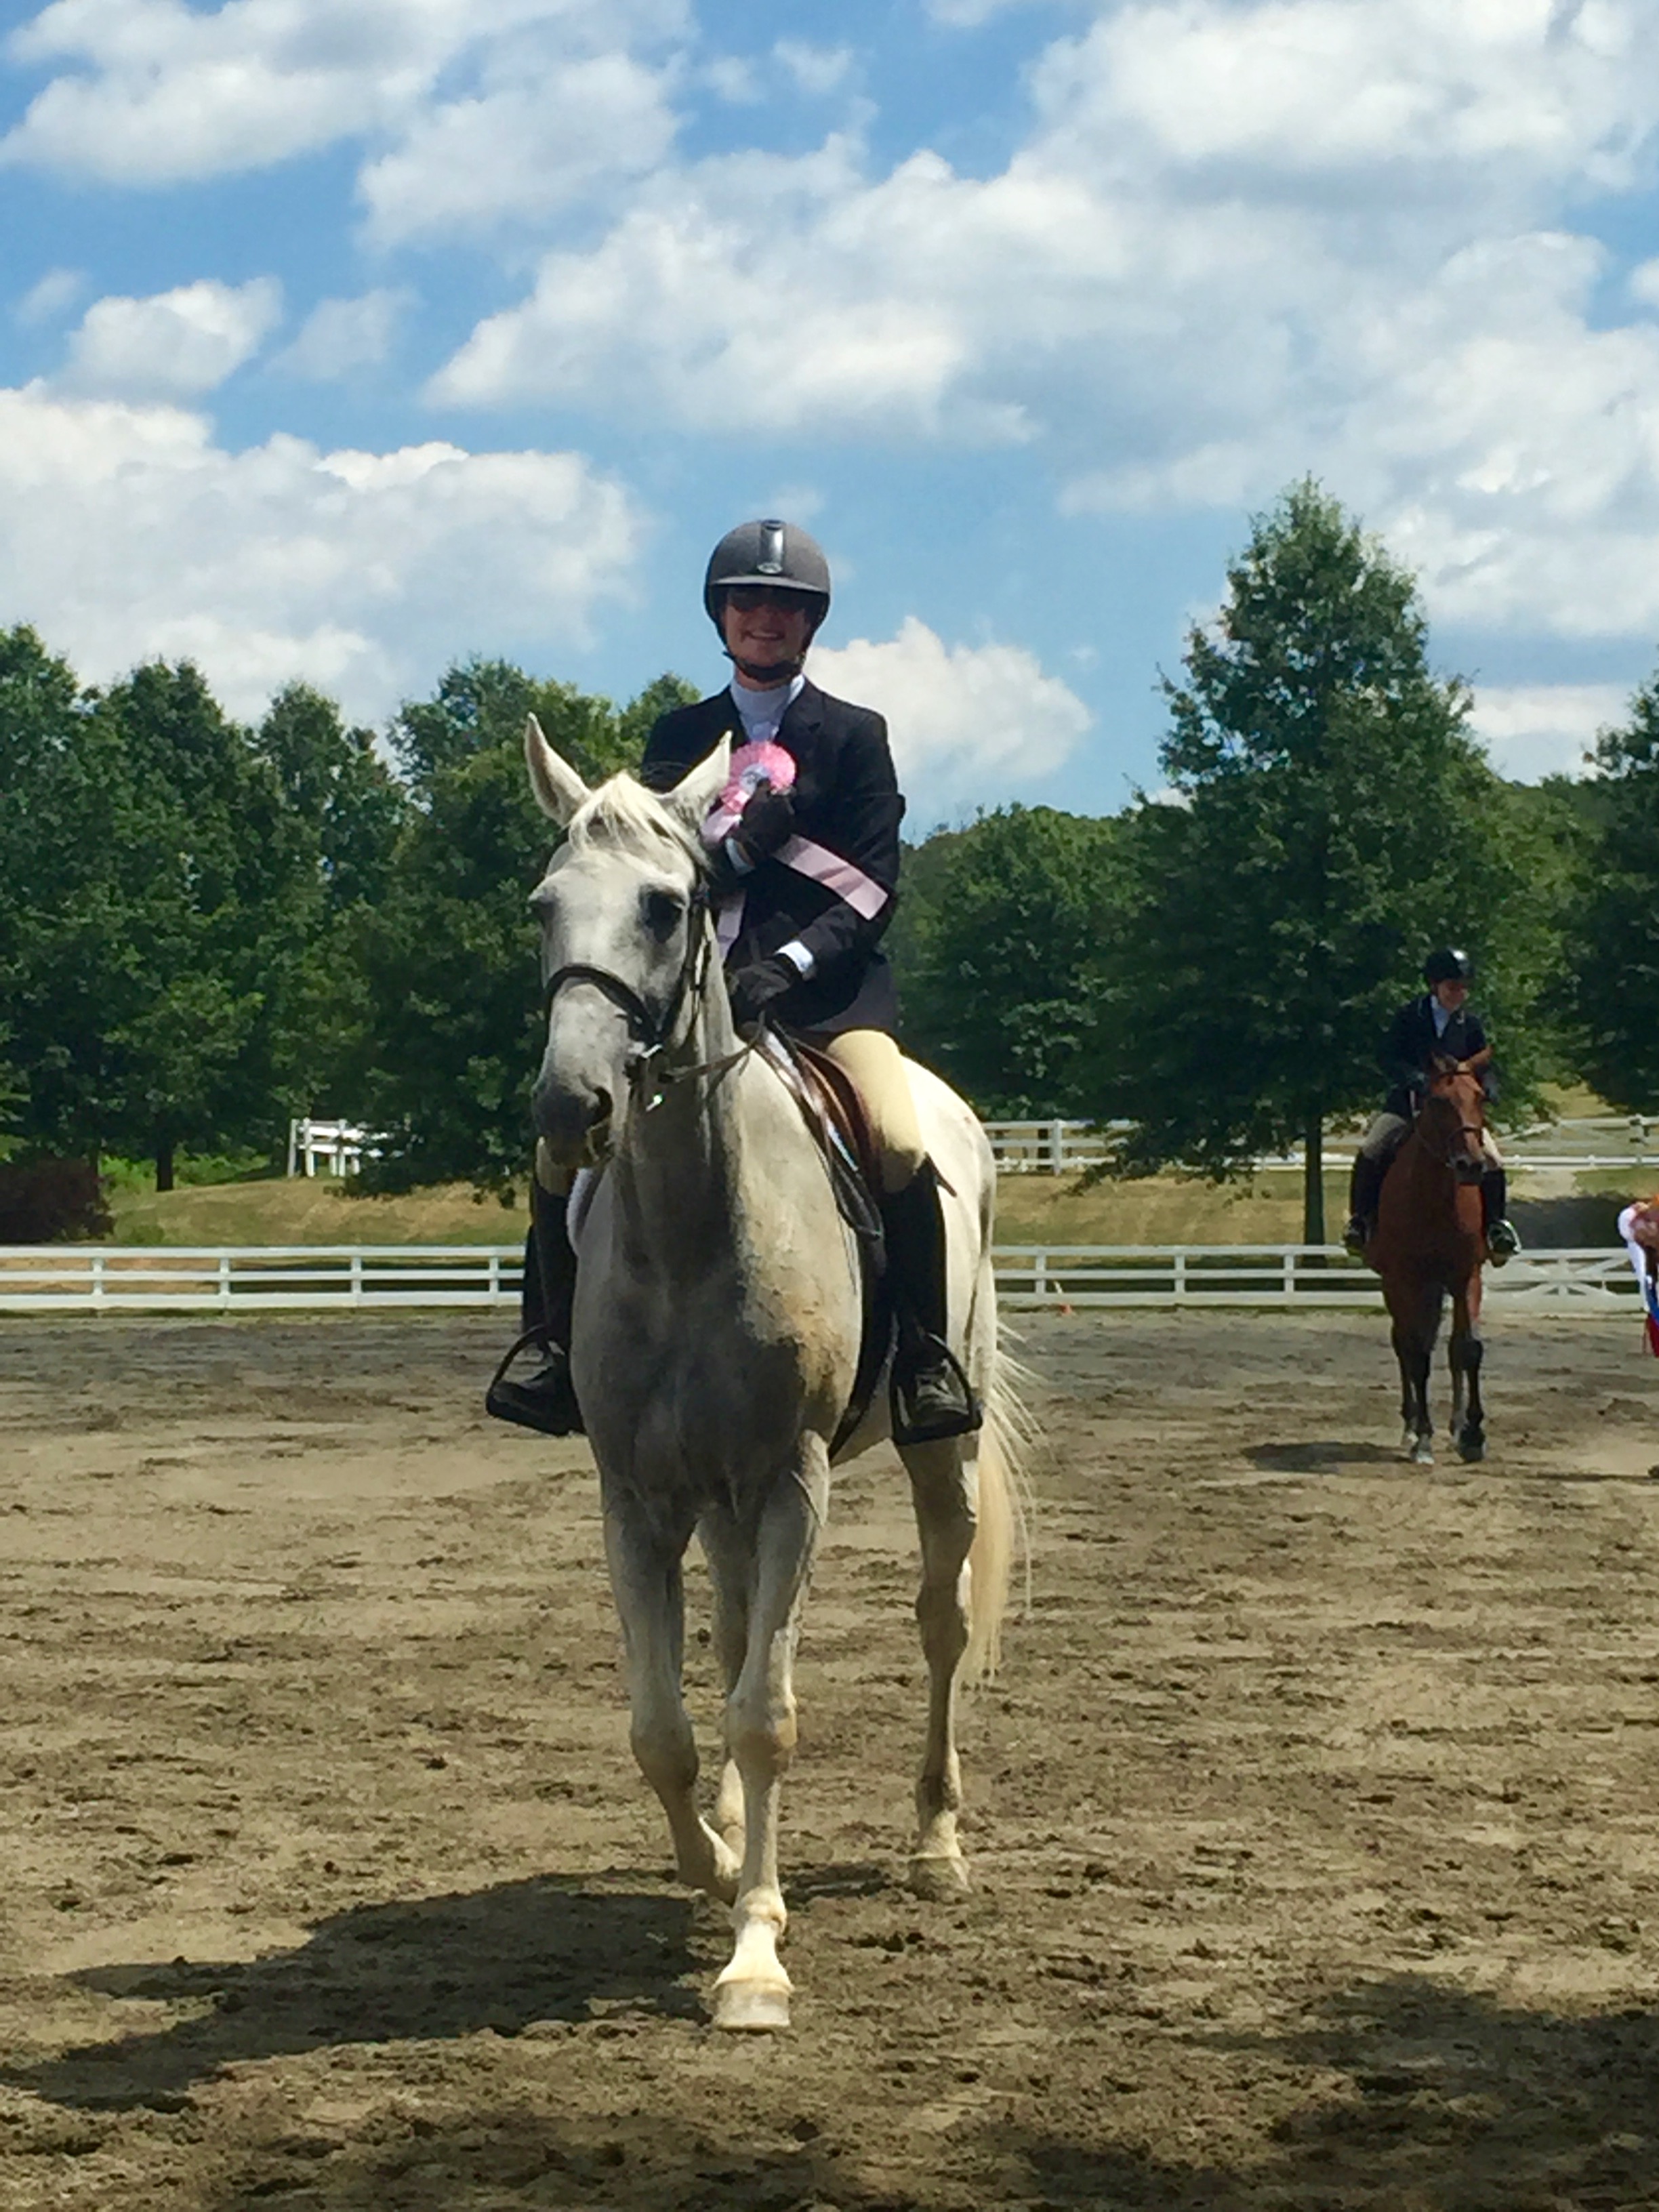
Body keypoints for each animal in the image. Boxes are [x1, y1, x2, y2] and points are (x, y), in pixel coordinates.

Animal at [519, 715, 1024, 2032]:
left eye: (663, 905)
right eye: (543, 905)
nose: (570, 1106)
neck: (696, 1223)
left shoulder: (797, 1480)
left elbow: (765, 1712)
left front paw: (754, 1957)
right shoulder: (639, 1496)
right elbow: (667, 1724)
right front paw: (710, 1861)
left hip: (936, 1452)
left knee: (940, 1622)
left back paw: (935, 1843)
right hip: (720, 1496)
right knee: (741, 1627)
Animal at [1367, 1053, 1491, 1467]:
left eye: (1481, 1097)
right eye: (1438, 1101)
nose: (1471, 1165)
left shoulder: (1467, 1276)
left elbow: (1468, 1349)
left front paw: (1473, 1434)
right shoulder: (1406, 1280)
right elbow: (1417, 1353)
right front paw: (1422, 1438)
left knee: (1449, 1348)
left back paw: (1454, 1426)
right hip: (1398, 1286)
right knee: (1404, 1344)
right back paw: (1411, 1425)